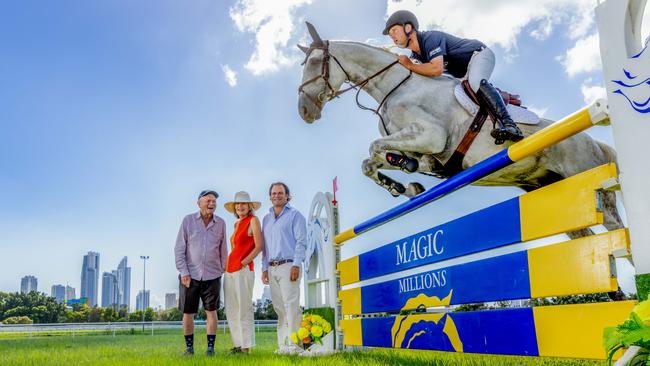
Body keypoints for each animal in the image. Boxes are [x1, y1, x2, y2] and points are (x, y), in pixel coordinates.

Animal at [296, 24, 620, 234]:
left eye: (315, 61)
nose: (304, 112)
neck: (393, 88)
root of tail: (595, 142)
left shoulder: (431, 136)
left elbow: (375, 146)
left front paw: (407, 173)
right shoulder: (413, 142)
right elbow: (370, 161)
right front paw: (402, 184)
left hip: (590, 180)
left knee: (615, 228)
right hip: (550, 190)